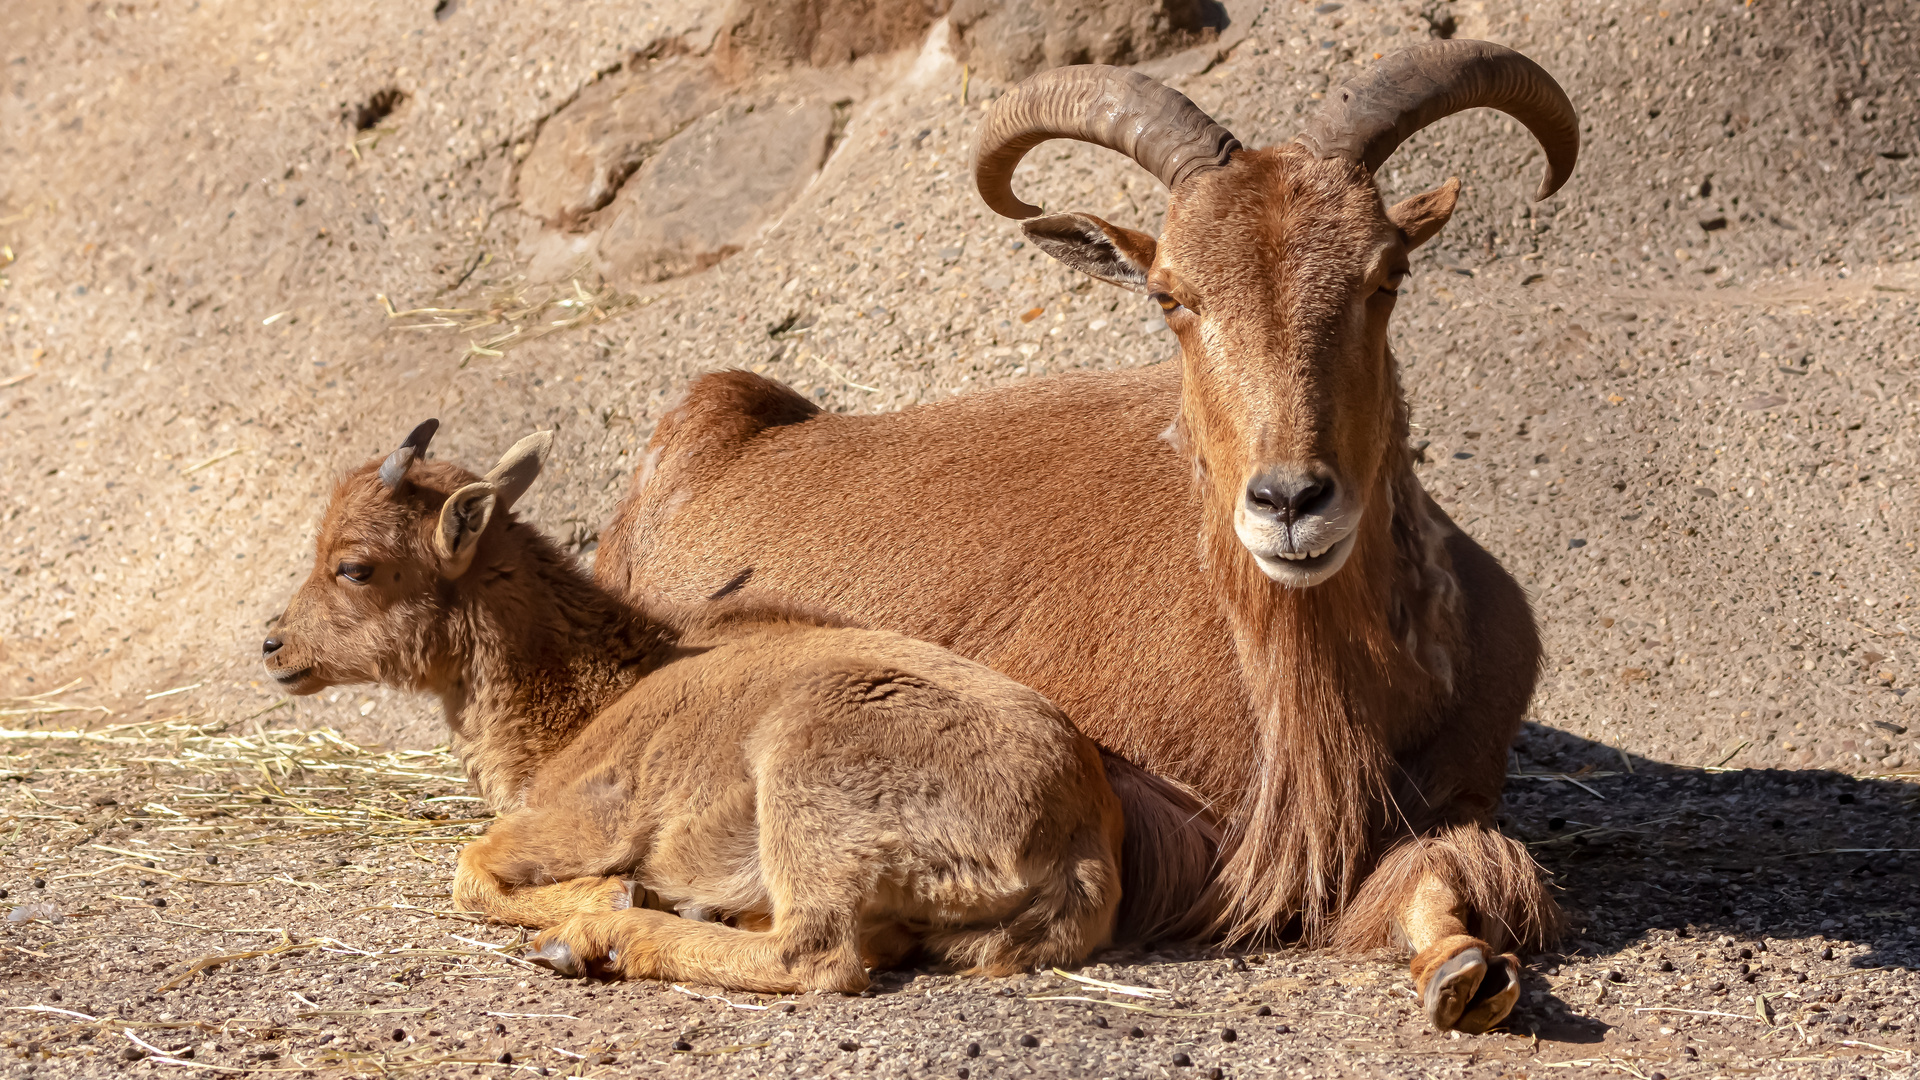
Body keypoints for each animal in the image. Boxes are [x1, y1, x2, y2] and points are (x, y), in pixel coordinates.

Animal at [259, 417, 1121, 991]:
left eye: (355, 566)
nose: (274, 647)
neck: (588, 700)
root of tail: (1080, 838)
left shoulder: (584, 818)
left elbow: (471, 869)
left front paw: (608, 895)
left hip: (808, 783)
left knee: (817, 953)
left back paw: (603, 936)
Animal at [599, 37, 1574, 1030]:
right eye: (1171, 295)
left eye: (1388, 274)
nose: (1291, 500)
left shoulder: (1458, 789)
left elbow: (1451, 876)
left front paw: (1465, 972)